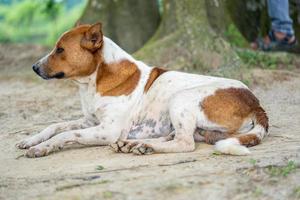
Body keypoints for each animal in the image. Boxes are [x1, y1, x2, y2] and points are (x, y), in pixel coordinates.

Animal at [16, 23, 270, 158]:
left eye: (60, 50)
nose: (34, 67)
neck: (91, 82)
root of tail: (256, 103)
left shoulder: (107, 130)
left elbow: (65, 135)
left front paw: (42, 147)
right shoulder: (90, 121)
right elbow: (55, 126)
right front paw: (32, 140)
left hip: (181, 98)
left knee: (185, 143)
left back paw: (144, 145)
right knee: (181, 137)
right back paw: (135, 144)